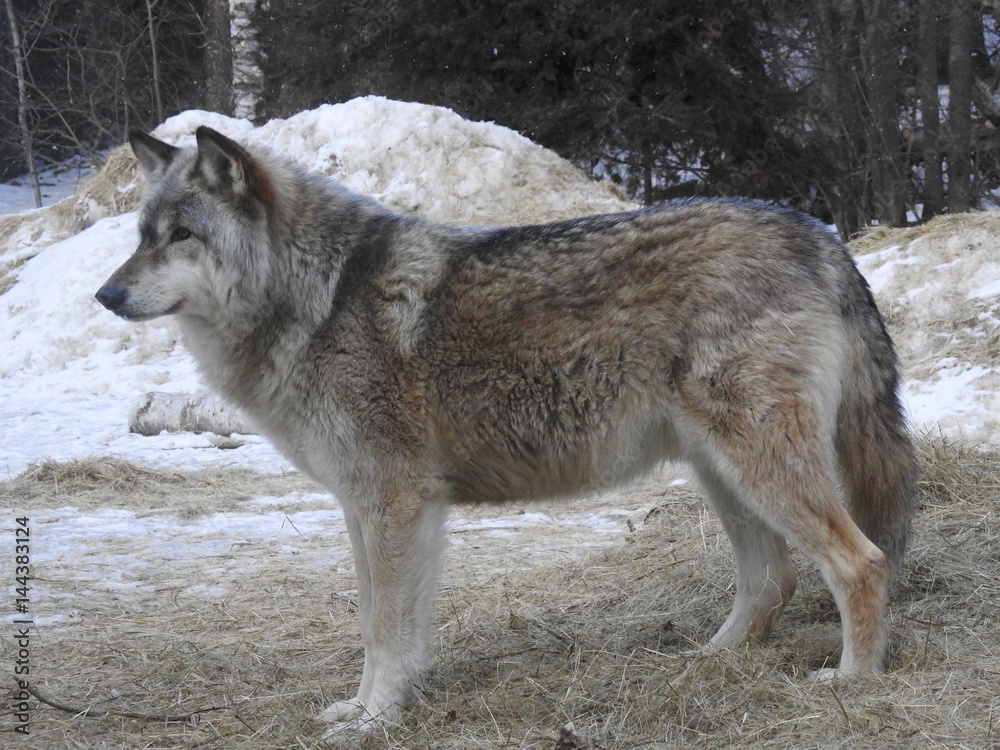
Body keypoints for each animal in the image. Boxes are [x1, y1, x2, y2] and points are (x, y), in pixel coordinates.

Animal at [96, 126, 917, 733]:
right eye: (141, 235)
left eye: (181, 235)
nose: (105, 294)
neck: (314, 298)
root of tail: (822, 237)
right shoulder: (368, 510)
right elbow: (378, 626)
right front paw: (366, 707)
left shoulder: (394, 506)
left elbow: (384, 629)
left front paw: (374, 719)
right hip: (722, 473)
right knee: (771, 580)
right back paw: (704, 663)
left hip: (759, 467)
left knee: (862, 562)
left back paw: (852, 680)